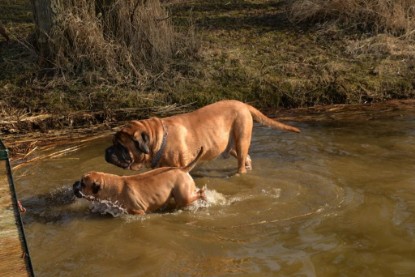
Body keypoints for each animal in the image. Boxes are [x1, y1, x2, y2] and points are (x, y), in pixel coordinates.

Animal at [74, 147, 207, 213]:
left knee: (197, 194)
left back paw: (204, 194)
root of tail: (182, 169)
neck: (108, 185)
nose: (75, 183)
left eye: (83, 184)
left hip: (183, 196)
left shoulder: (138, 211)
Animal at [103, 99, 300, 172]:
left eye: (120, 146)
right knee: (246, 157)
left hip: (242, 139)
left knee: (242, 162)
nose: (107, 151)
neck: (158, 139)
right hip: (230, 144)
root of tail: (243, 104)